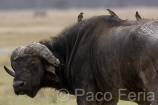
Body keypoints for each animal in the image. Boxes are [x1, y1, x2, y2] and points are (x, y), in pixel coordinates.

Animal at [4, 15, 158, 105]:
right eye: (14, 66)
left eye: (33, 64)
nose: (17, 85)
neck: (70, 47)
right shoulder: (110, 98)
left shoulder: (85, 96)